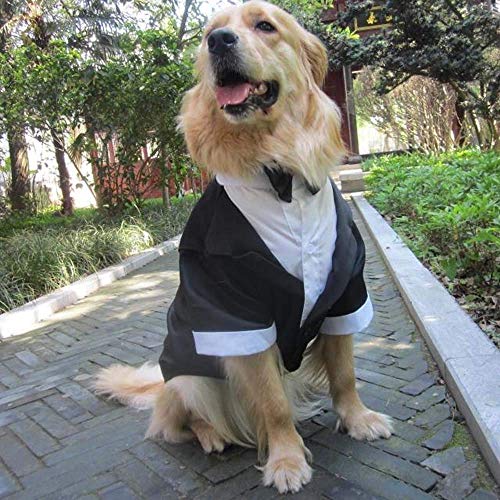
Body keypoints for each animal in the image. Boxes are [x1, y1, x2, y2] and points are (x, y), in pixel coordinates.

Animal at [94, 0, 390, 492]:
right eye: (209, 33)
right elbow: (273, 404)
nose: (219, 42)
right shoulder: (237, 312)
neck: (280, 174)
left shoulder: (343, 291)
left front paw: (357, 418)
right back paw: (212, 434)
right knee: (178, 420)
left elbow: (345, 373)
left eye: (265, 26)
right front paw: (286, 459)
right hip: (190, 376)